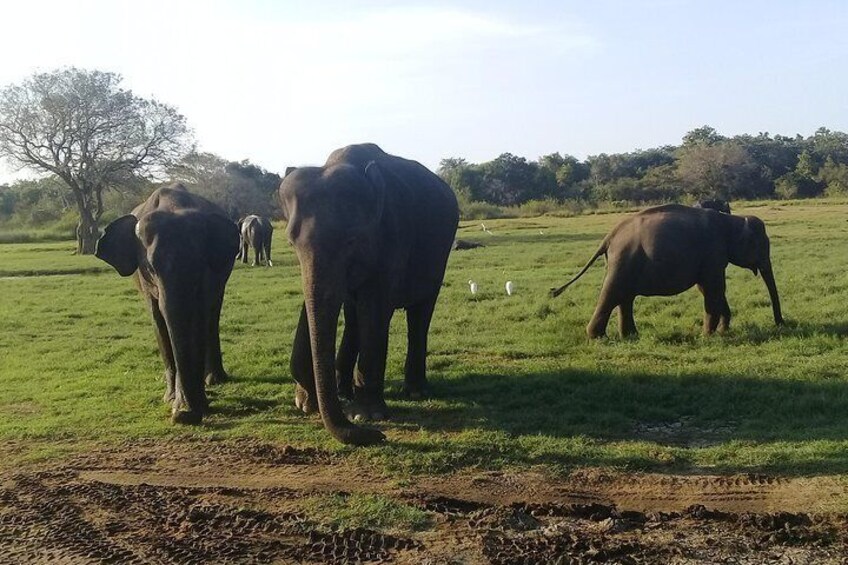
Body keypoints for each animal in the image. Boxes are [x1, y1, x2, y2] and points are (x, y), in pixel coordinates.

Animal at [96, 184, 242, 424]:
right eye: (151, 267)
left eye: (199, 262)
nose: (184, 415)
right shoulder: (146, 282)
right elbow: (159, 320)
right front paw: (172, 400)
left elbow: (199, 317)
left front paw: (192, 407)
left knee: (213, 315)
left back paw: (214, 379)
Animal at [280, 142, 458, 446]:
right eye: (291, 243)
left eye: (351, 240)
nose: (379, 436)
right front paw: (306, 402)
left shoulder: (393, 236)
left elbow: (375, 310)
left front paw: (367, 416)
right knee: (353, 317)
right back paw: (344, 390)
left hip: (439, 256)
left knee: (420, 313)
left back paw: (415, 391)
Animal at [548, 206, 780, 340]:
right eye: (761, 246)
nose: (781, 324)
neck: (731, 220)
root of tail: (609, 237)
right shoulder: (713, 253)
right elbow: (713, 288)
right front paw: (708, 337)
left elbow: (709, 289)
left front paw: (721, 332)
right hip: (623, 261)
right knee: (612, 293)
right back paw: (598, 337)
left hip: (626, 263)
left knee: (625, 297)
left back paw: (630, 336)